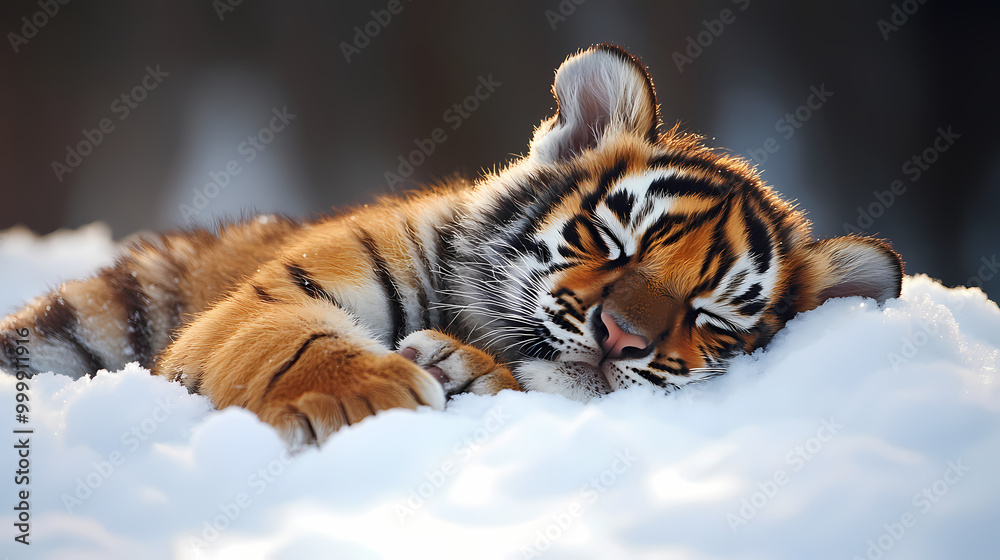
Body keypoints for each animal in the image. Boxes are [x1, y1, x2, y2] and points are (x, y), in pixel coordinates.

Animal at [1, 44, 902, 446]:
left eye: (709, 318)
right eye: (609, 240)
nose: (621, 338)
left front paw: (462, 368)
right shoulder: (274, 293)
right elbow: (295, 340)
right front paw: (364, 401)